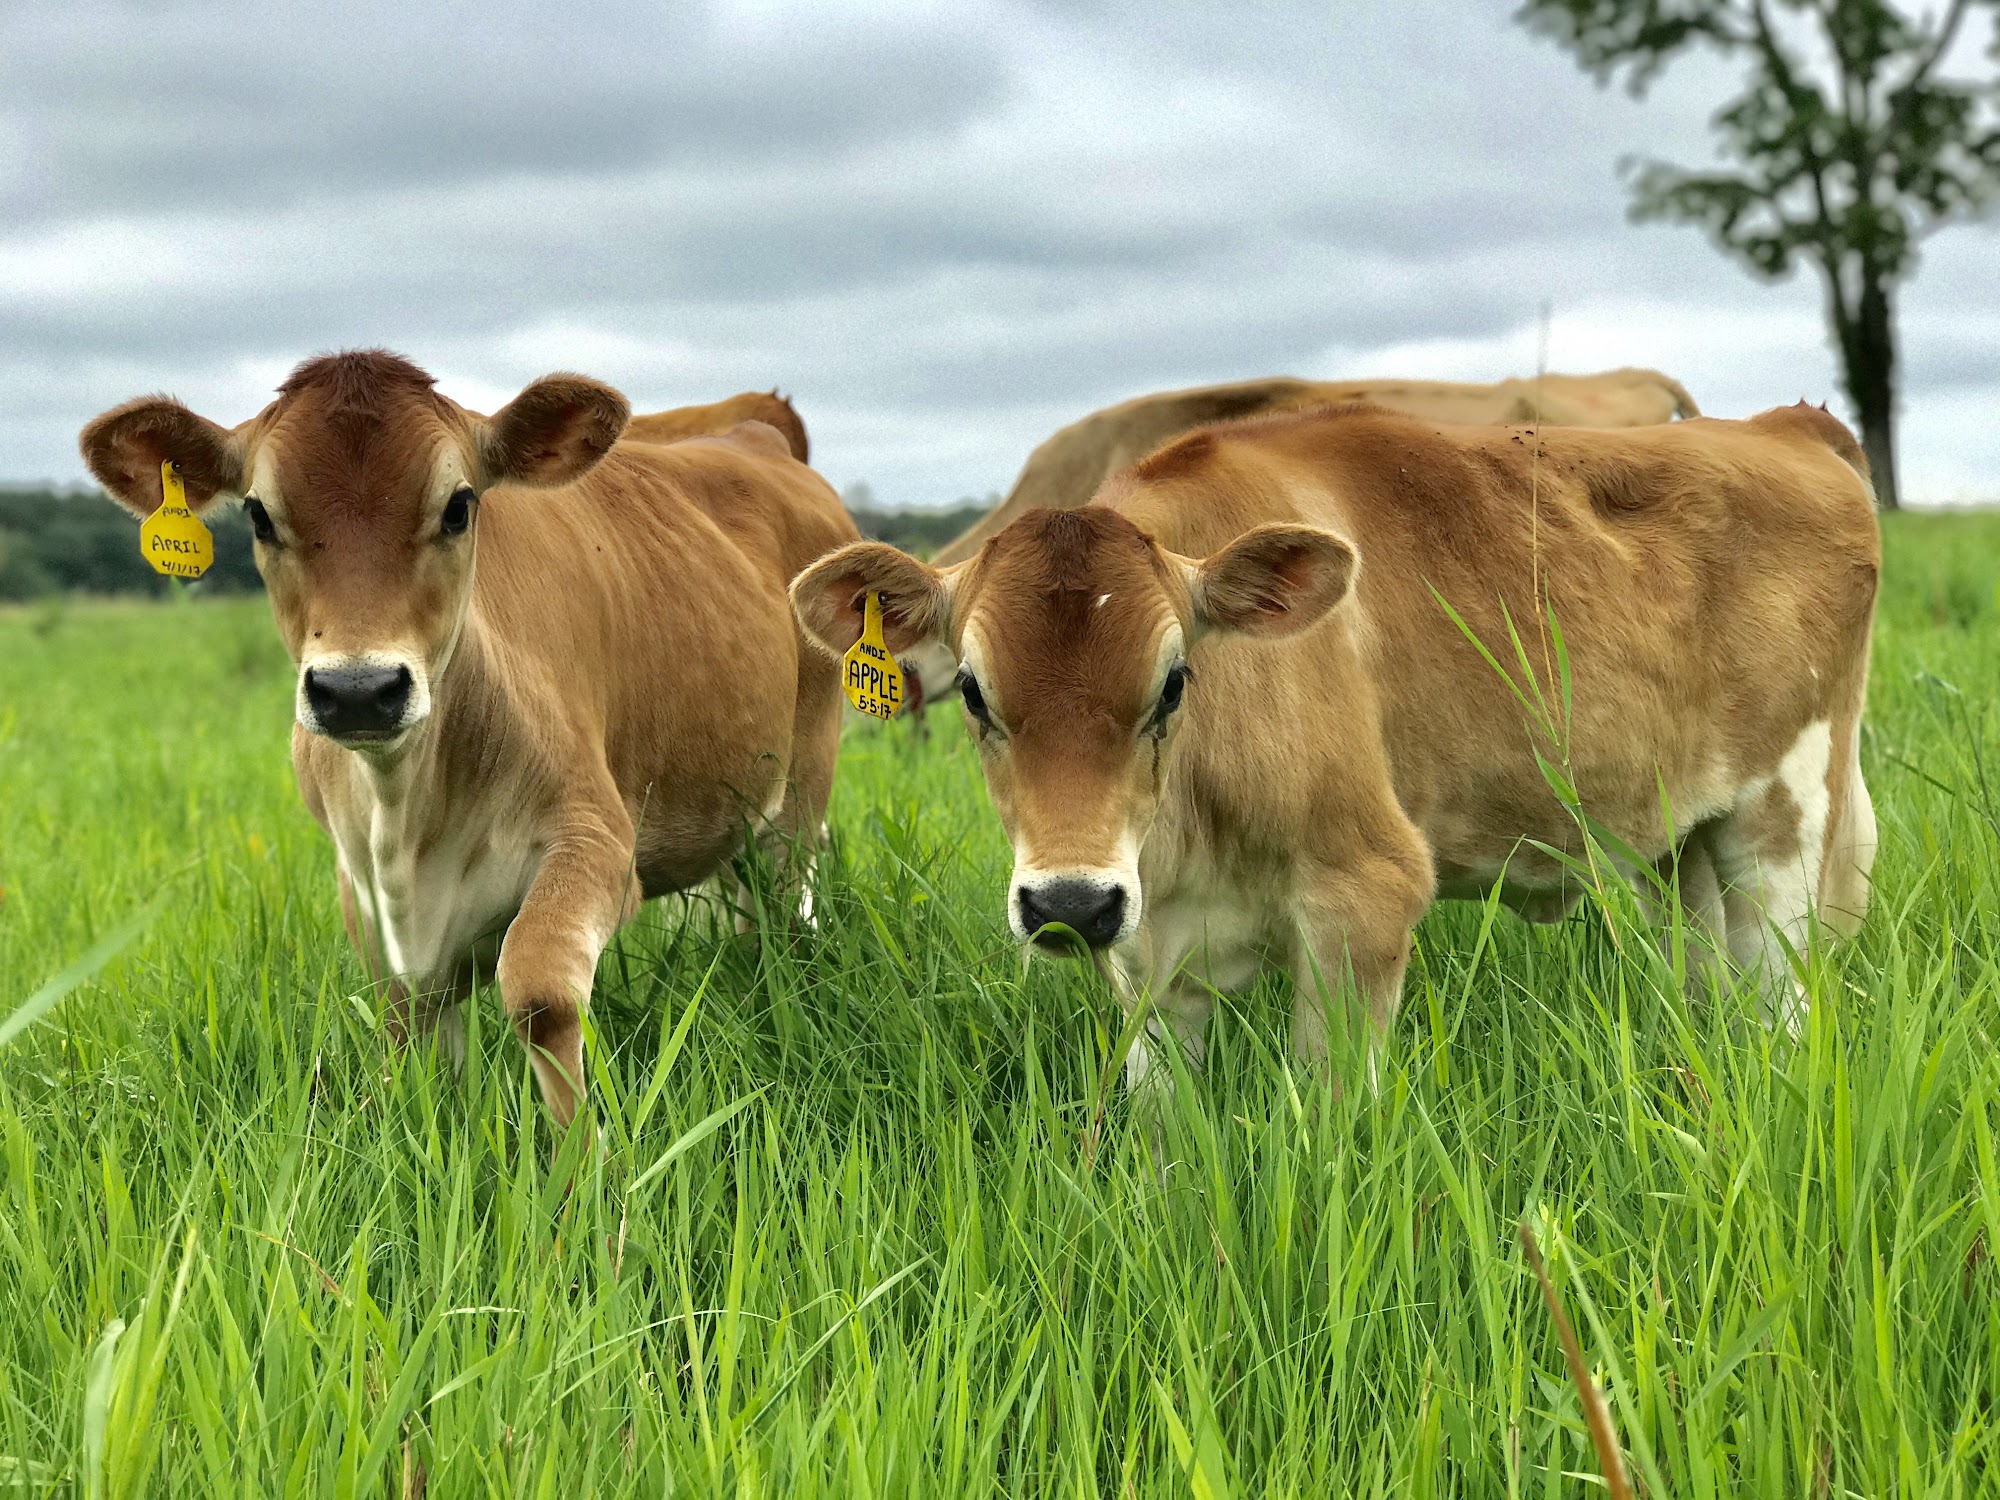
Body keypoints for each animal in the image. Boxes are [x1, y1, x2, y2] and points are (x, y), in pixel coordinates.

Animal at [80, 352, 856, 1126]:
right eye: (259, 514)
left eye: (459, 505)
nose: (358, 690)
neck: (407, 809)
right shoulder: (366, 896)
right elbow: (411, 1034)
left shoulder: (597, 837)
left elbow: (541, 993)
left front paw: (581, 1161)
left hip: (801, 793)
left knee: (783, 917)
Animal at [793, 400, 1877, 1101]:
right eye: (975, 692)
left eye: (1175, 679)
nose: (1068, 903)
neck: (1187, 840)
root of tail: (1781, 425)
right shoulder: (1146, 949)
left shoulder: (1365, 895)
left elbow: (1324, 1124)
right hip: (1679, 848)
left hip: (1787, 821)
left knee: (1780, 1003)